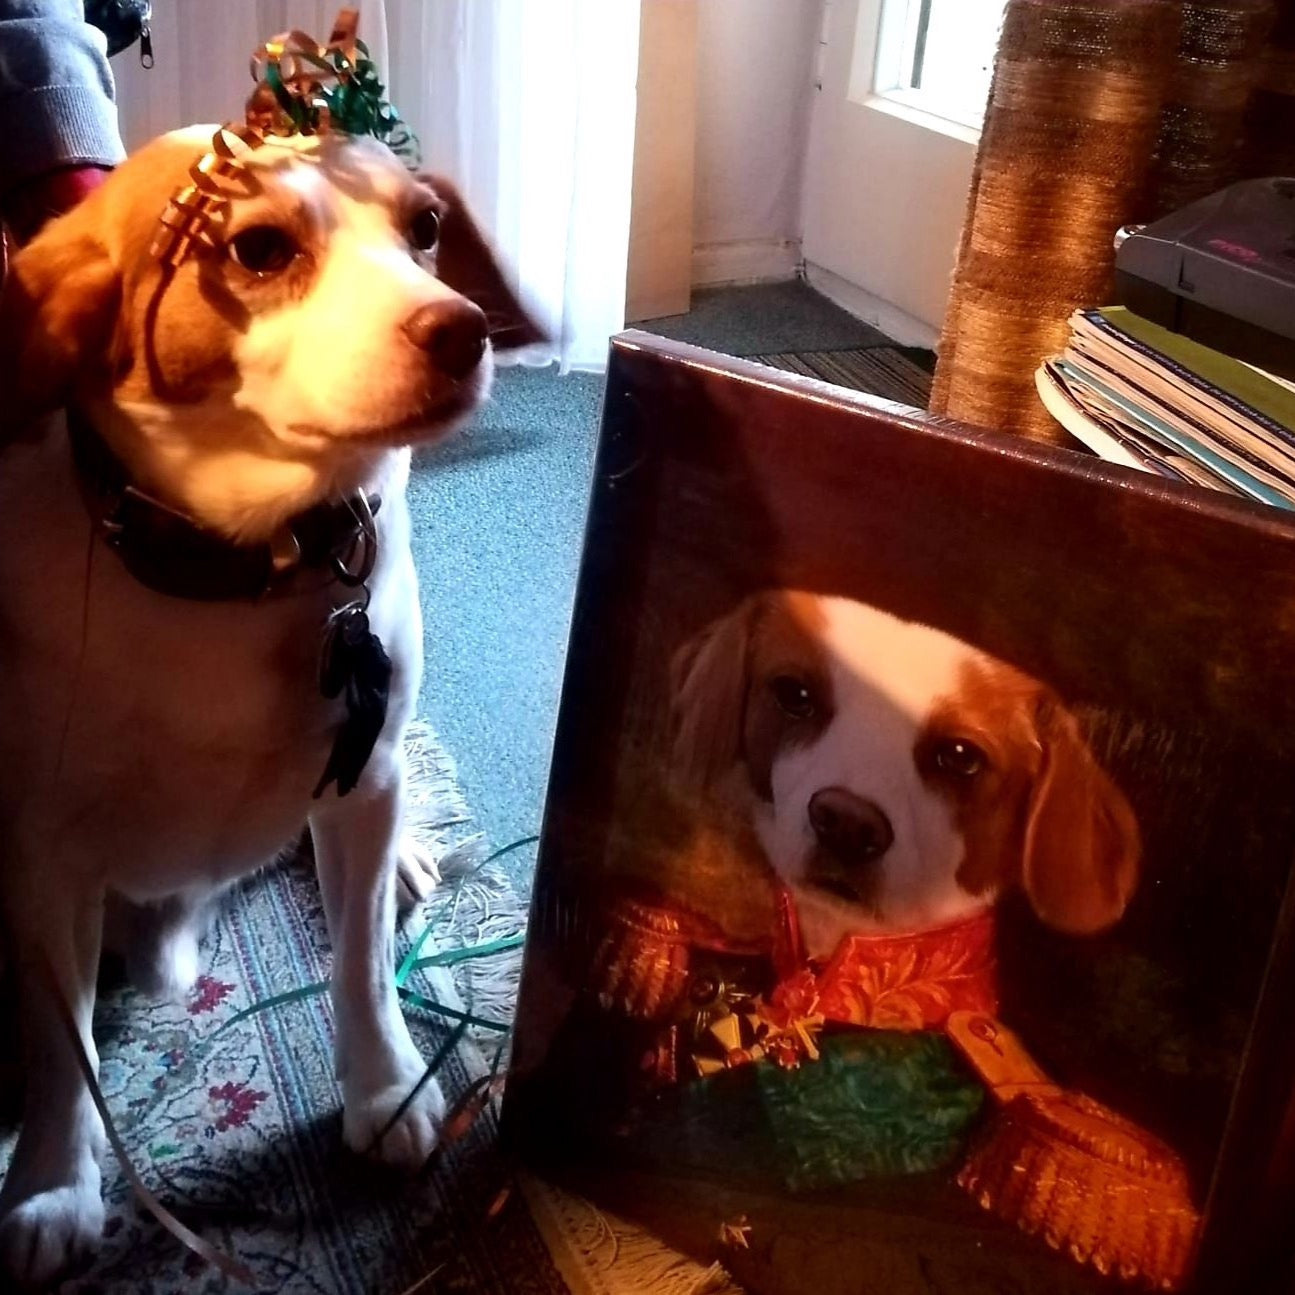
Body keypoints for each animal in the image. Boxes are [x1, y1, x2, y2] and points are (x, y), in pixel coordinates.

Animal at [0, 126, 530, 1279]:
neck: (241, 572)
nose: (463, 329)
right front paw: (52, 1181)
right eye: (257, 247)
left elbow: (362, 963)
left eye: (424, 226)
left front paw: (384, 1086)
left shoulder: (363, 780)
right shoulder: (39, 853)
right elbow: (58, 1043)